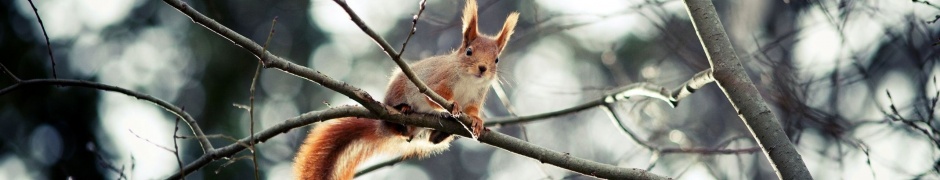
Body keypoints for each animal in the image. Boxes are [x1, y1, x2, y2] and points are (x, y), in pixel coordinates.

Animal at [292, 0, 516, 179]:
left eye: (496, 59)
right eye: (469, 52)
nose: (483, 68)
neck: (469, 80)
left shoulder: (476, 96)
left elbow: (472, 111)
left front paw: (477, 122)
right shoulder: (436, 82)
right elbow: (436, 97)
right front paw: (452, 105)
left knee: (428, 139)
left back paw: (440, 134)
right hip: (397, 95)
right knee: (398, 125)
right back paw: (404, 110)